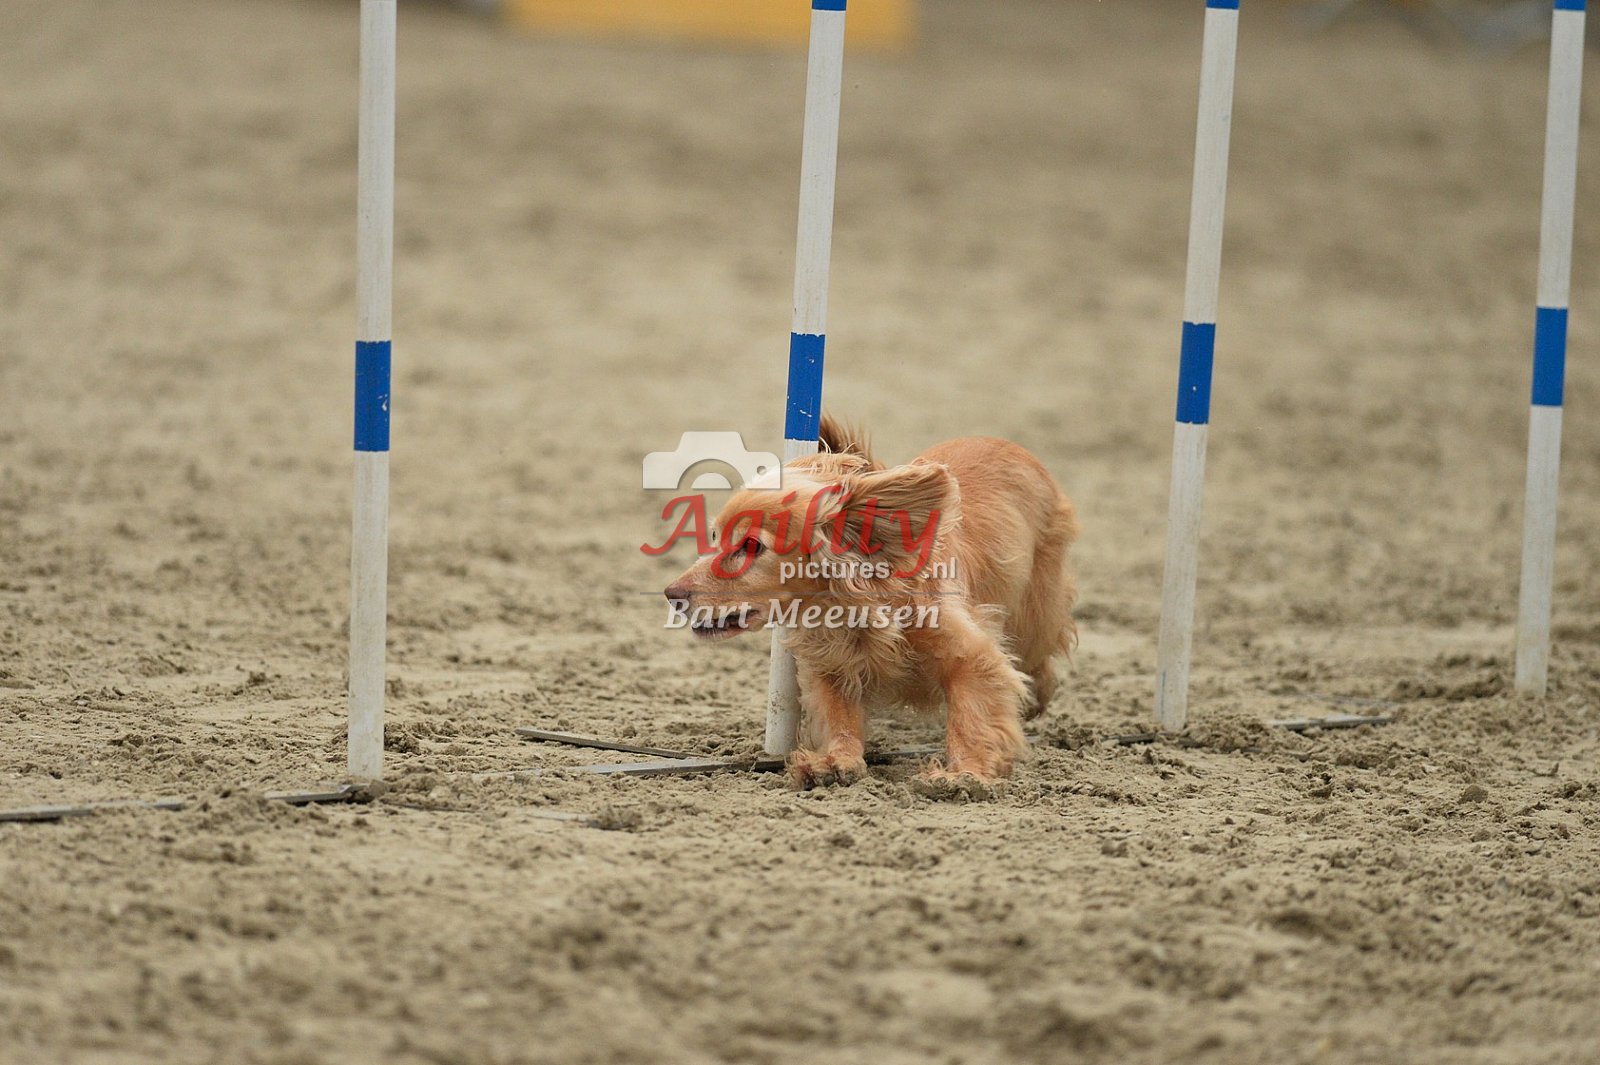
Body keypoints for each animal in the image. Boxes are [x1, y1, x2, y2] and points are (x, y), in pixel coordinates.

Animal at [663, 415, 1078, 787]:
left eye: (751, 546)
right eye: (714, 536)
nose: (671, 594)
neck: (851, 610)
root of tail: (1007, 445)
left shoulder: (971, 656)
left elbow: (972, 715)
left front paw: (965, 773)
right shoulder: (829, 666)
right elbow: (838, 716)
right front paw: (833, 761)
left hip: (1033, 616)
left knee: (1039, 659)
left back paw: (1038, 696)